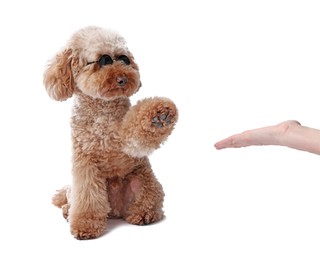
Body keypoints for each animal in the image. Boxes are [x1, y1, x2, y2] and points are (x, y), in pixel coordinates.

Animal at [43, 26, 178, 240]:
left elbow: (138, 129)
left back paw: (144, 214)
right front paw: (86, 225)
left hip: (143, 182)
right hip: (78, 188)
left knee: (149, 202)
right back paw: (67, 211)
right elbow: (87, 198)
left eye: (124, 59)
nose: (123, 78)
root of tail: (114, 211)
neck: (102, 109)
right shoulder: (85, 164)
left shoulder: (127, 141)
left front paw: (159, 115)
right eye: (103, 60)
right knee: (71, 198)